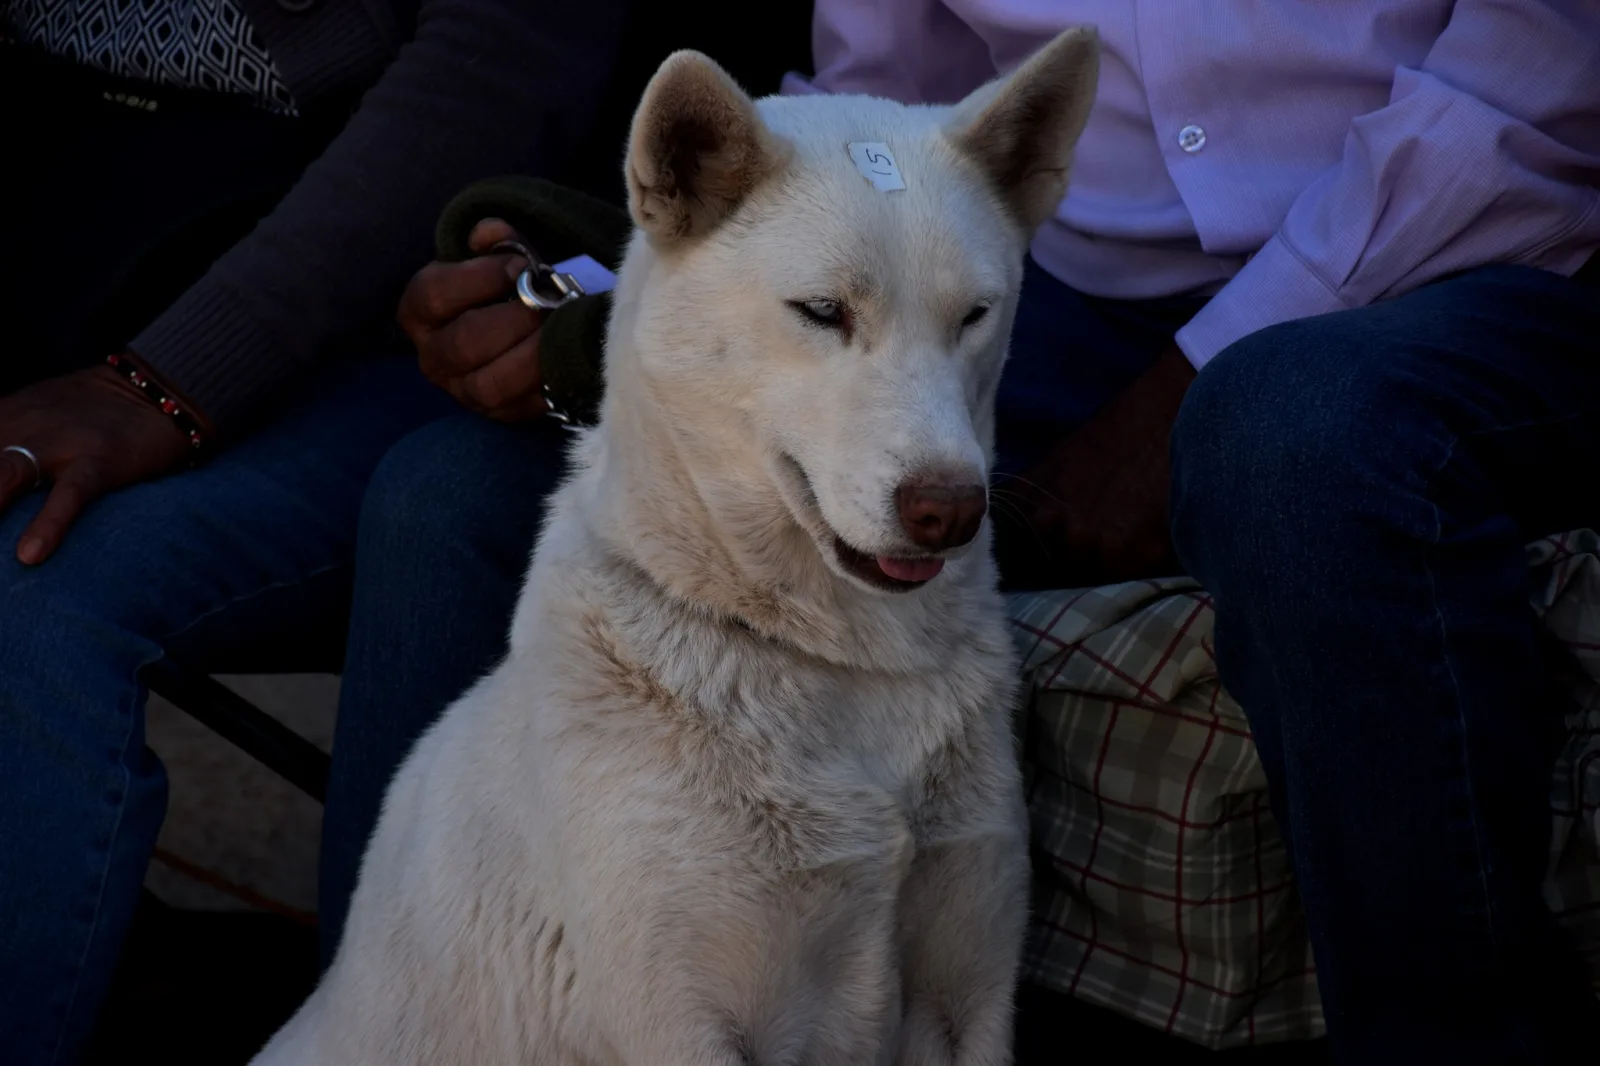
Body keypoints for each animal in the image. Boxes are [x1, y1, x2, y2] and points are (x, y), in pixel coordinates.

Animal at [256, 31, 1100, 1062]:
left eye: (976, 314)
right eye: (822, 311)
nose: (951, 508)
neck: (842, 668)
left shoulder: (967, 992)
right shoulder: (680, 1013)